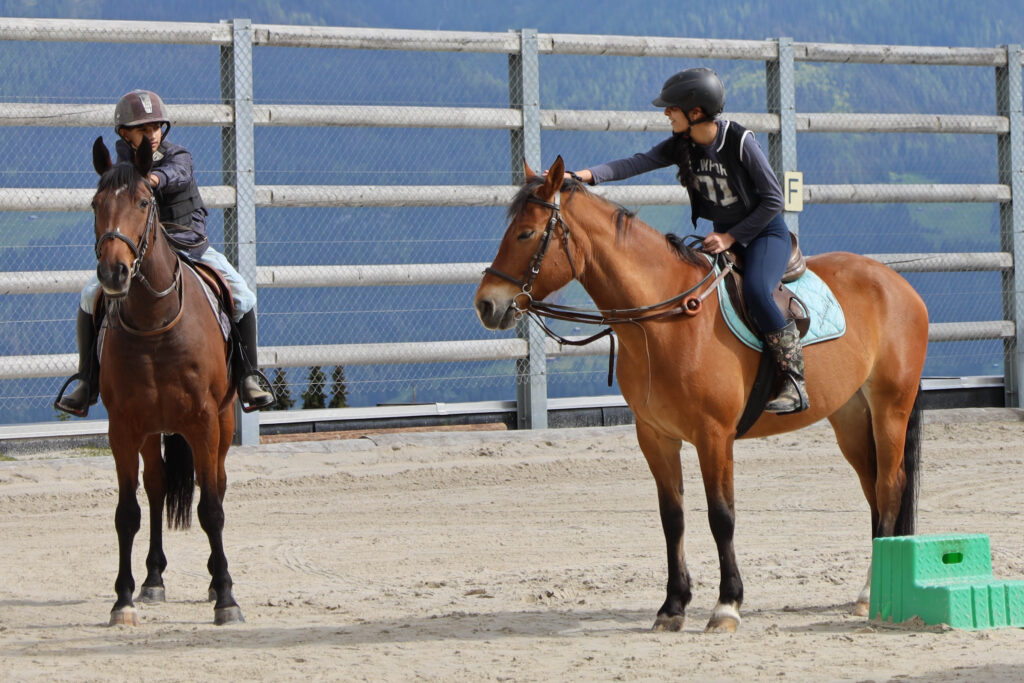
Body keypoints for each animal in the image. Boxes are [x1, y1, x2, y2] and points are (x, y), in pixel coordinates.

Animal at [86, 136, 241, 626]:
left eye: (142, 201)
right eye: (96, 203)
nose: (113, 272)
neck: (155, 323)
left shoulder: (204, 421)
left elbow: (210, 509)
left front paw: (226, 597)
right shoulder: (123, 428)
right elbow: (127, 512)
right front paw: (122, 599)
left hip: (223, 424)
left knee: (217, 485)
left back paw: (214, 582)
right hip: (153, 430)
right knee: (155, 490)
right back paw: (153, 578)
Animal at [471, 157, 929, 634]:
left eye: (526, 234)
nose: (486, 304)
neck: (666, 321)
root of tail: (896, 282)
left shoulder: (714, 437)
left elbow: (721, 516)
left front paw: (726, 605)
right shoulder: (655, 437)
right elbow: (672, 518)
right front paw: (672, 606)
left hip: (890, 409)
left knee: (890, 486)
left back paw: (872, 591)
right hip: (851, 418)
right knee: (872, 488)